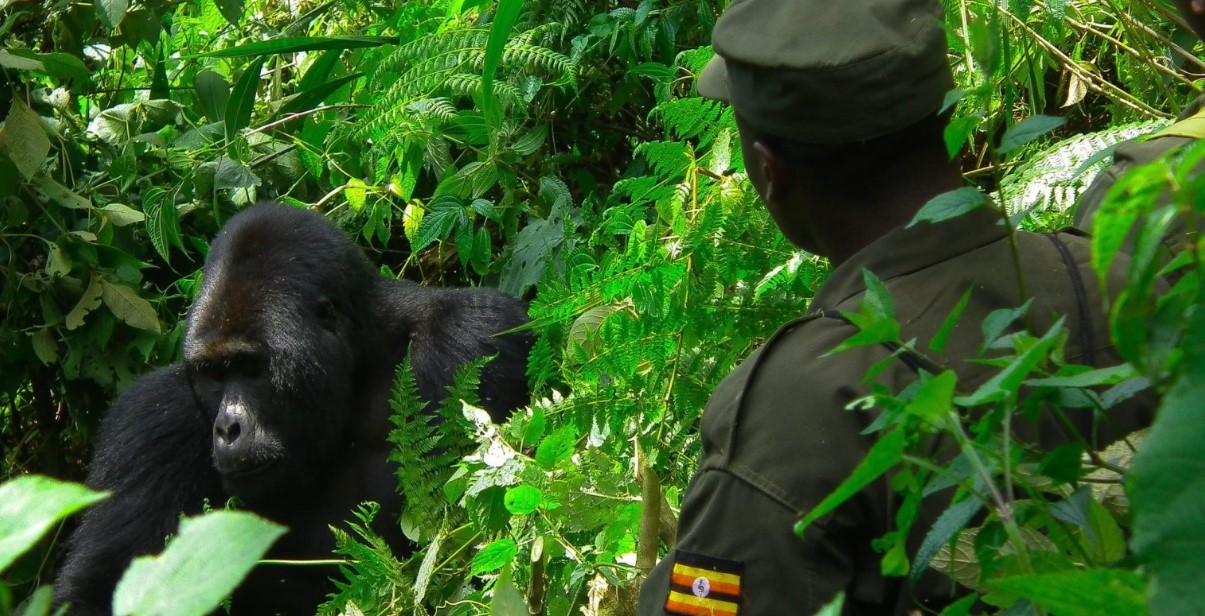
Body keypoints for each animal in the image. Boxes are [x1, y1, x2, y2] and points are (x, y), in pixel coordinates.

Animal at [51, 203, 532, 616]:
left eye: (251, 368)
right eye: (213, 373)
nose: (227, 428)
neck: (358, 365)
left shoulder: (475, 335)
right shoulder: (150, 423)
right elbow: (98, 589)